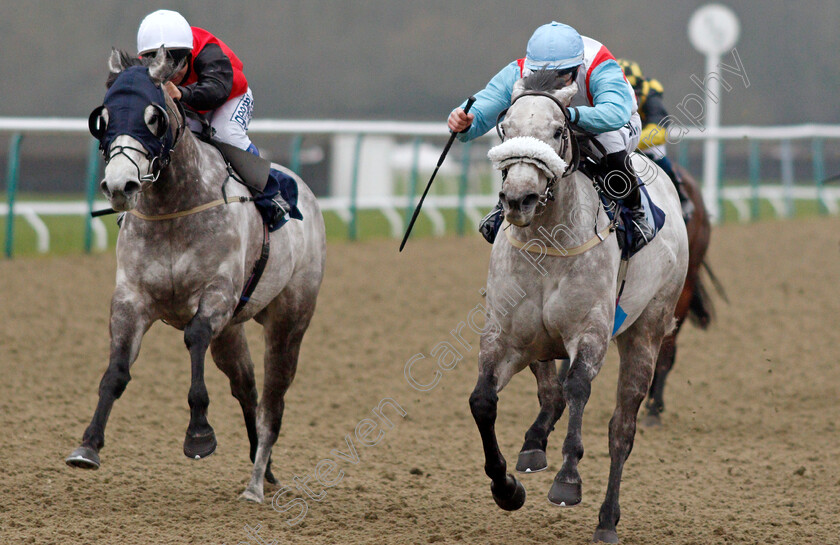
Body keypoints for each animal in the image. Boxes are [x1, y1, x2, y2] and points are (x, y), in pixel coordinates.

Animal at [65, 49, 326, 504]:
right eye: (105, 117)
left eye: (154, 118)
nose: (120, 185)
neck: (174, 207)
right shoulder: (131, 299)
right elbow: (116, 370)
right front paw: (88, 446)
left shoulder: (217, 295)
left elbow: (195, 338)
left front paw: (199, 434)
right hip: (234, 329)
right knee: (246, 387)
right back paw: (264, 465)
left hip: (289, 320)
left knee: (272, 401)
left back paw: (256, 483)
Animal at [466, 71, 688, 540]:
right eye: (505, 129)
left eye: (557, 131)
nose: (519, 199)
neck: (547, 241)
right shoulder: (506, 336)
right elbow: (483, 401)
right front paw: (506, 487)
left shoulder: (591, 331)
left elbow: (579, 389)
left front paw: (568, 479)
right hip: (542, 342)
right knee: (550, 393)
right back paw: (533, 447)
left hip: (647, 330)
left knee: (621, 428)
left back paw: (607, 519)